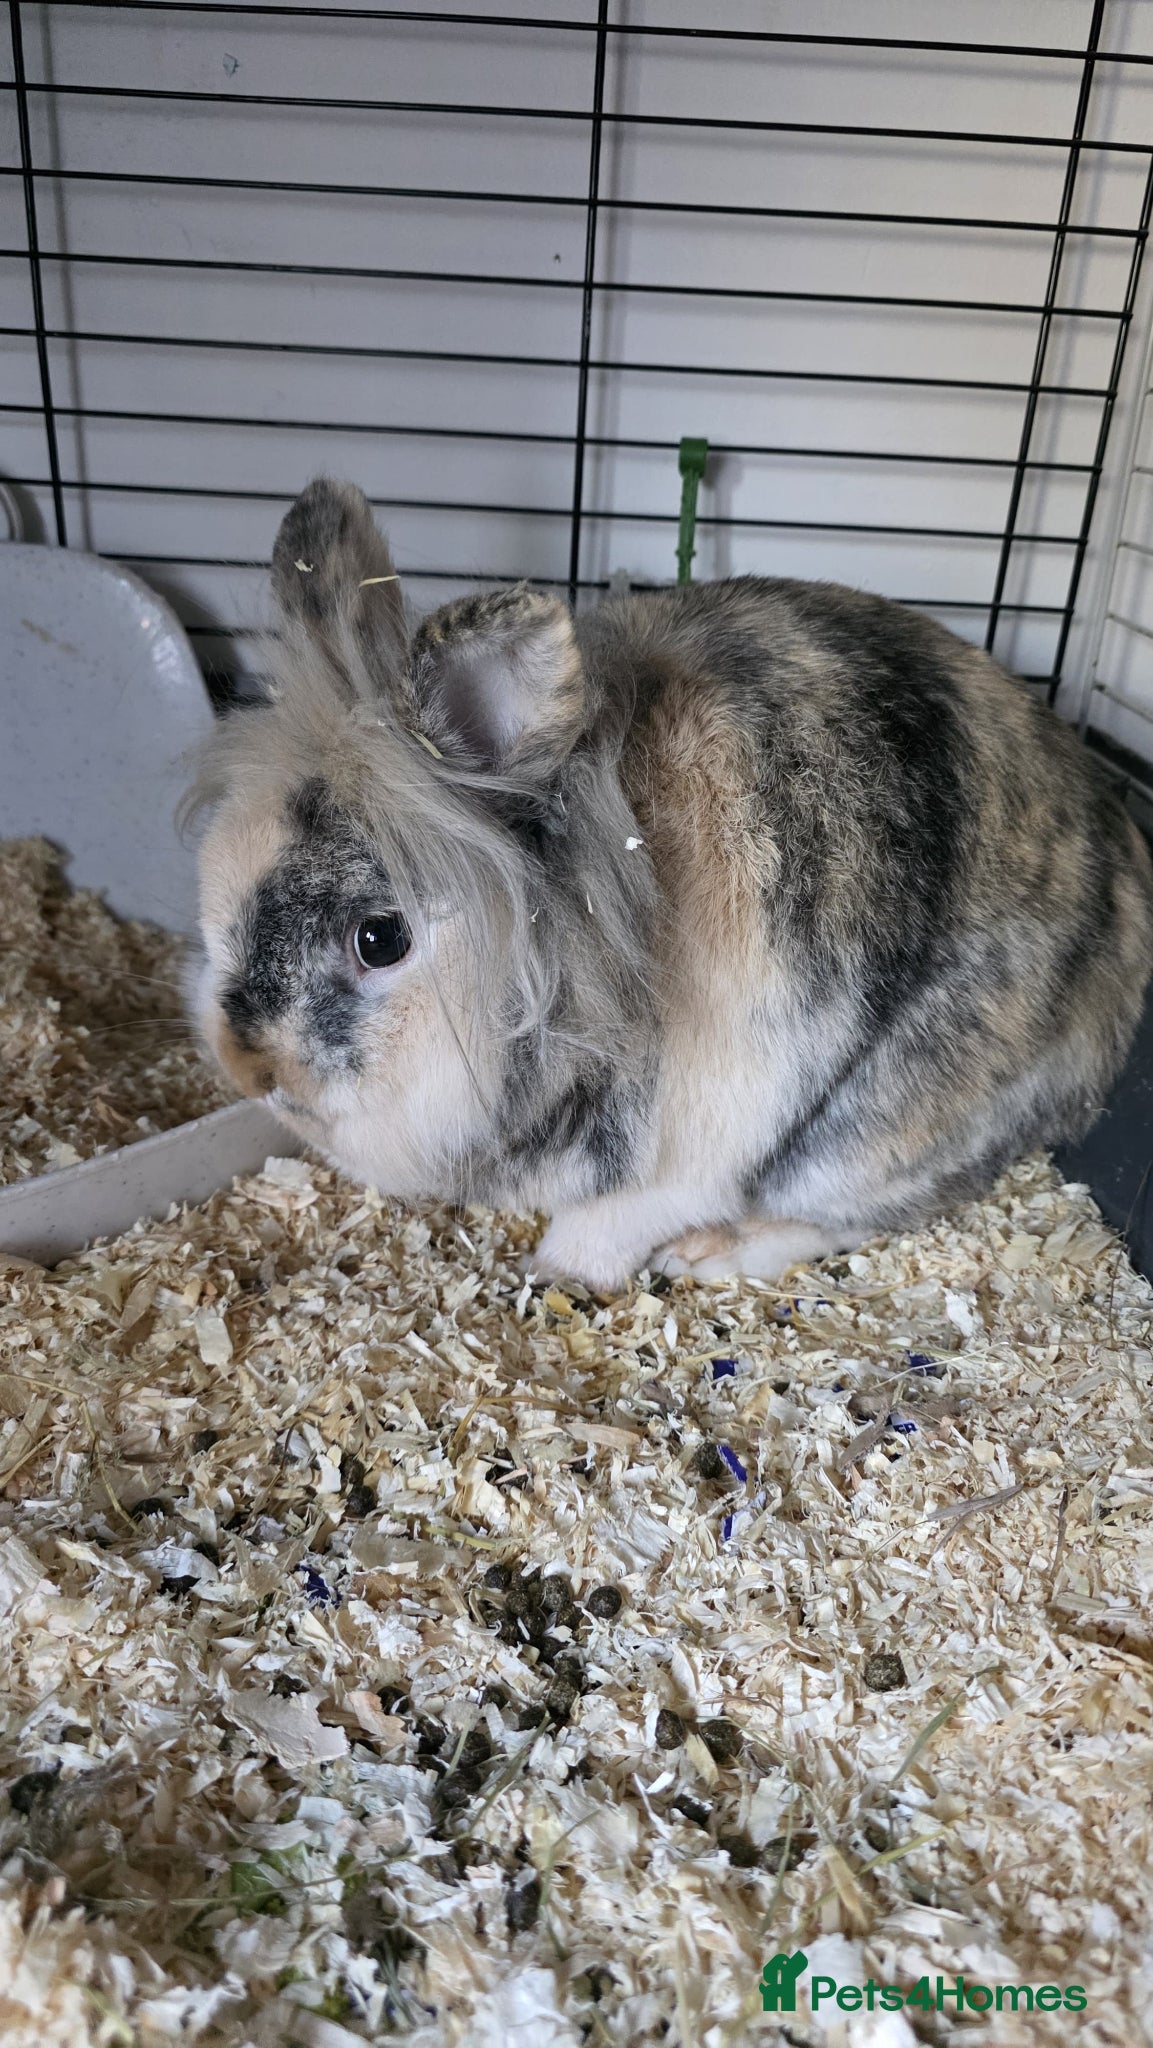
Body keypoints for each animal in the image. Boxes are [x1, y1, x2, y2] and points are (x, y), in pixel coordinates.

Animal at [188, 477, 1153, 1292]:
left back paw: (706, 1258)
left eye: (379, 938)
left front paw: (556, 1272)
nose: (249, 1069)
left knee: (838, 1218)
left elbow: (617, 1220)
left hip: (864, 1141)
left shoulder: (693, 1142)